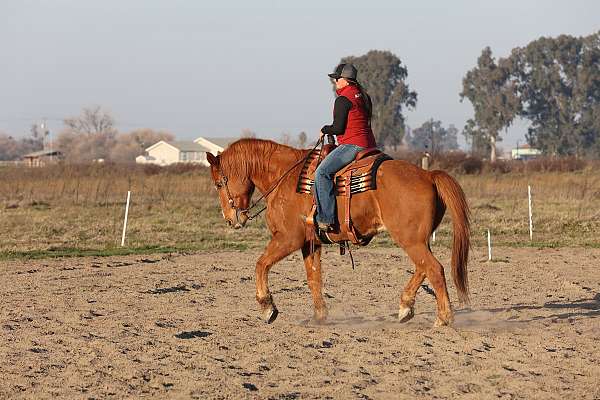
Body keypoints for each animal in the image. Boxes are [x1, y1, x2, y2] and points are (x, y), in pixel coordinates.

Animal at [209, 139, 472, 326]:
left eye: (219, 183)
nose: (231, 219)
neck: (285, 177)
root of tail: (428, 175)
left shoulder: (287, 239)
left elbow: (261, 264)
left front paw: (267, 307)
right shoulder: (310, 243)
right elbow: (314, 278)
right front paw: (320, 316)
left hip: (410, 241)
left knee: (434, 269)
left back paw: (443, 318)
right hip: (417, 241)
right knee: (423, 268)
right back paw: (406, 307)